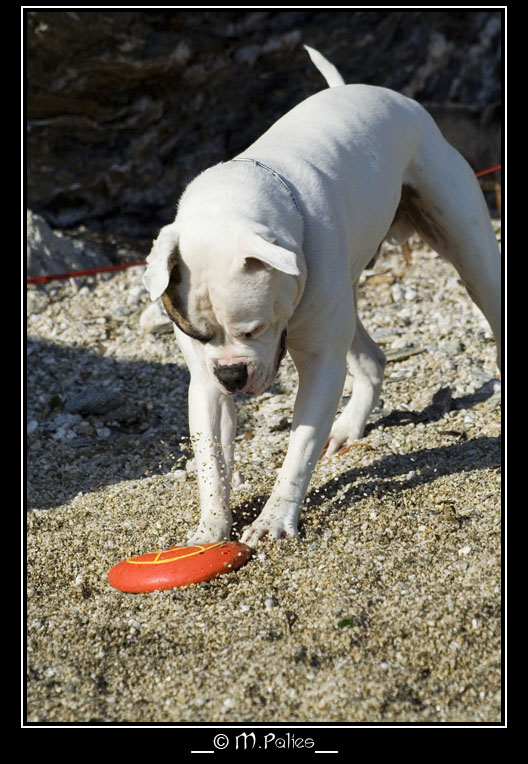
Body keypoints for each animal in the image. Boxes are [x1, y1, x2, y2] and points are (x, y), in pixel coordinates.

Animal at [143, 46, 500, 544]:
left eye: (254, 329)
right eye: (195, 335)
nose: (233, 375)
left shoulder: (319, 365)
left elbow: (300, 447)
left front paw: (275, 518)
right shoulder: (206, 386)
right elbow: (211, 457)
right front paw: (210, 528)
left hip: (470, 251)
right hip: (344, 303)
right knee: (372, 360)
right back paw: (348, 428)